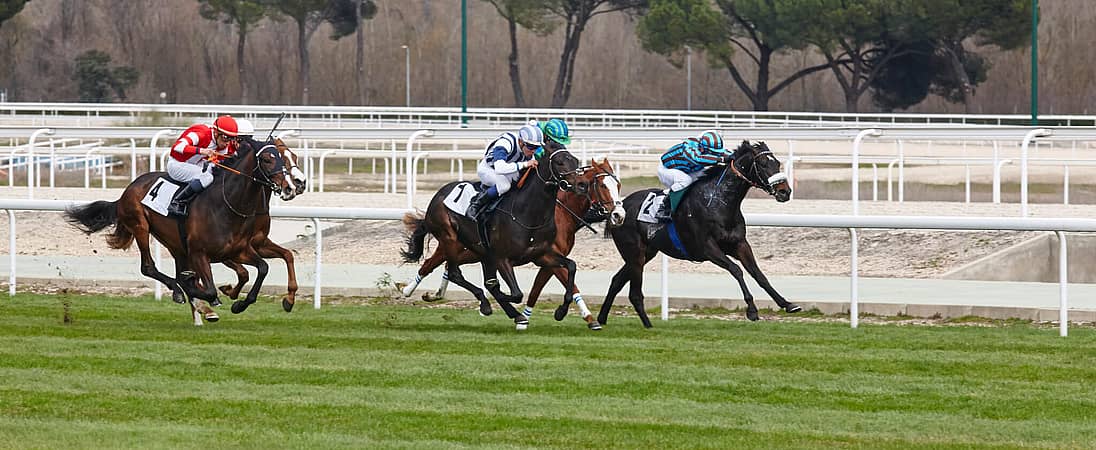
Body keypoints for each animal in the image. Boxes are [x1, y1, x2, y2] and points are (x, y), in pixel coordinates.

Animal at [64, 137, 295, 324]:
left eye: (286, 157)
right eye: (267, 159)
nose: (291, 186)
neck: (228, 204)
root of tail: (126, 190)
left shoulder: (239, 250)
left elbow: (263, 267)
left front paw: (241, 304)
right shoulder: (200, 252)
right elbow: (209, 287)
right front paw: (208, 296)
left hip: (176, 244)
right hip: (140, 226)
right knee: (148, 267)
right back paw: (182, 293)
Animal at [401, 156, 626, 328]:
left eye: (618, 185)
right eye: (603, 185)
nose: (619, 215)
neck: (558, 213)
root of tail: (438, 196)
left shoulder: (545, 256)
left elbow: (544, 285)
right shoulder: (543, 258)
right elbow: (557, 285)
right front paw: (582, 317)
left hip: (477, 252)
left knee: (447, 266)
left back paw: (434, 294)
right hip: (453, 241)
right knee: (440, 265)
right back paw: (411, 290)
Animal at [600, 141, 806, 328]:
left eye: (777, 163)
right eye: (763, 164)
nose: (785, 191)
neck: (718, 202)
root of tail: (618, 209)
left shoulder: (739, 244)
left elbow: (758, 273)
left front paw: (787, 304)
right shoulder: (707, 248)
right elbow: (736, 270)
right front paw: (752, 310)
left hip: (646, 253)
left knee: (617, 280)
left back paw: (602, 319)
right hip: (634, 252)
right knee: (633, 292)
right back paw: (646, 324)